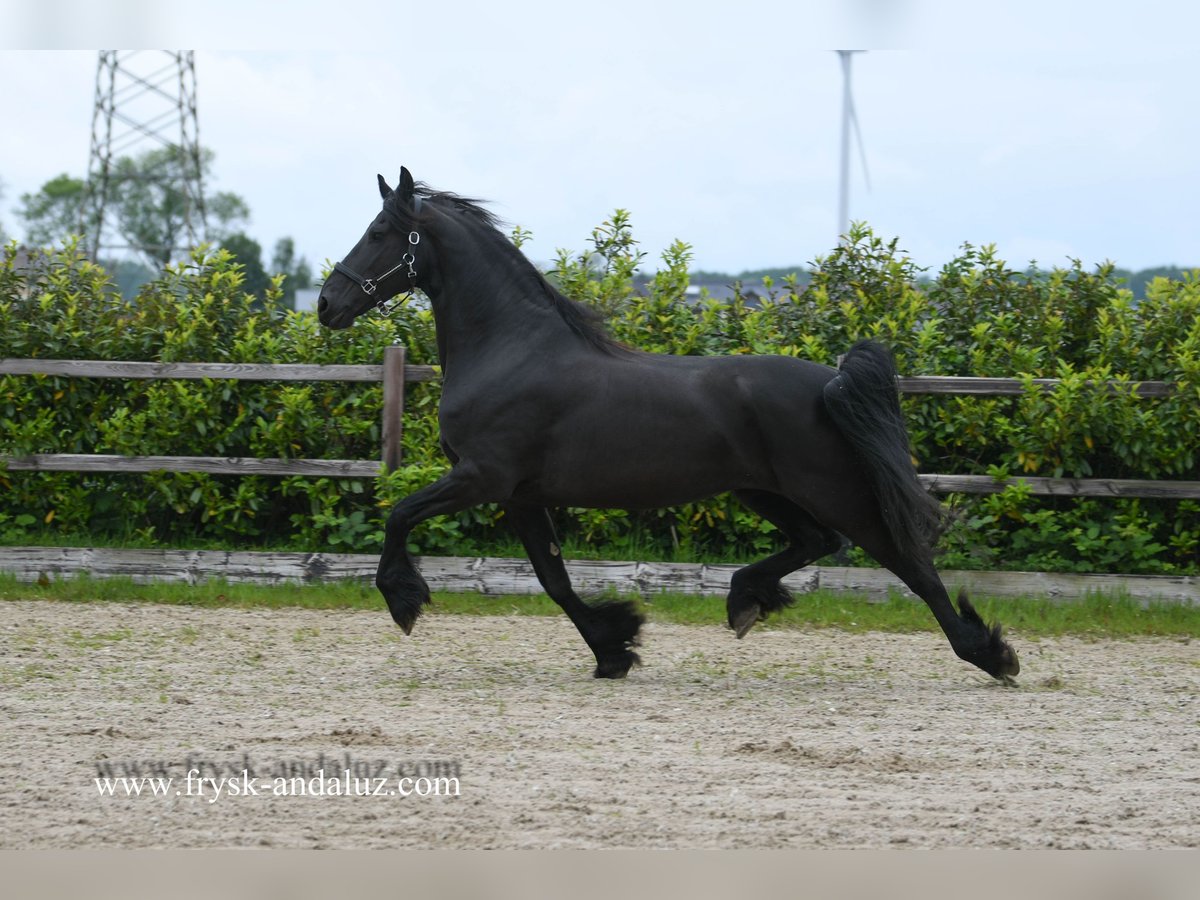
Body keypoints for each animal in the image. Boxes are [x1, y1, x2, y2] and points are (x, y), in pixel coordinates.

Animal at [314, 170, 1017, 681]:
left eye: (379, 230)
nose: (326, 304)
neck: (510, 350)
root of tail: (828, 380)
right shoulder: (520, 496)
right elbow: (554, 579)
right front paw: (614, 648)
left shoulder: (481, 477)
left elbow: (399, 514)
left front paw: (404, 601)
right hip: (762, 490)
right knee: (818, 542)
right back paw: (746, 599)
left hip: (831, 488)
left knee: (905, 561)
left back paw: (989, 654)